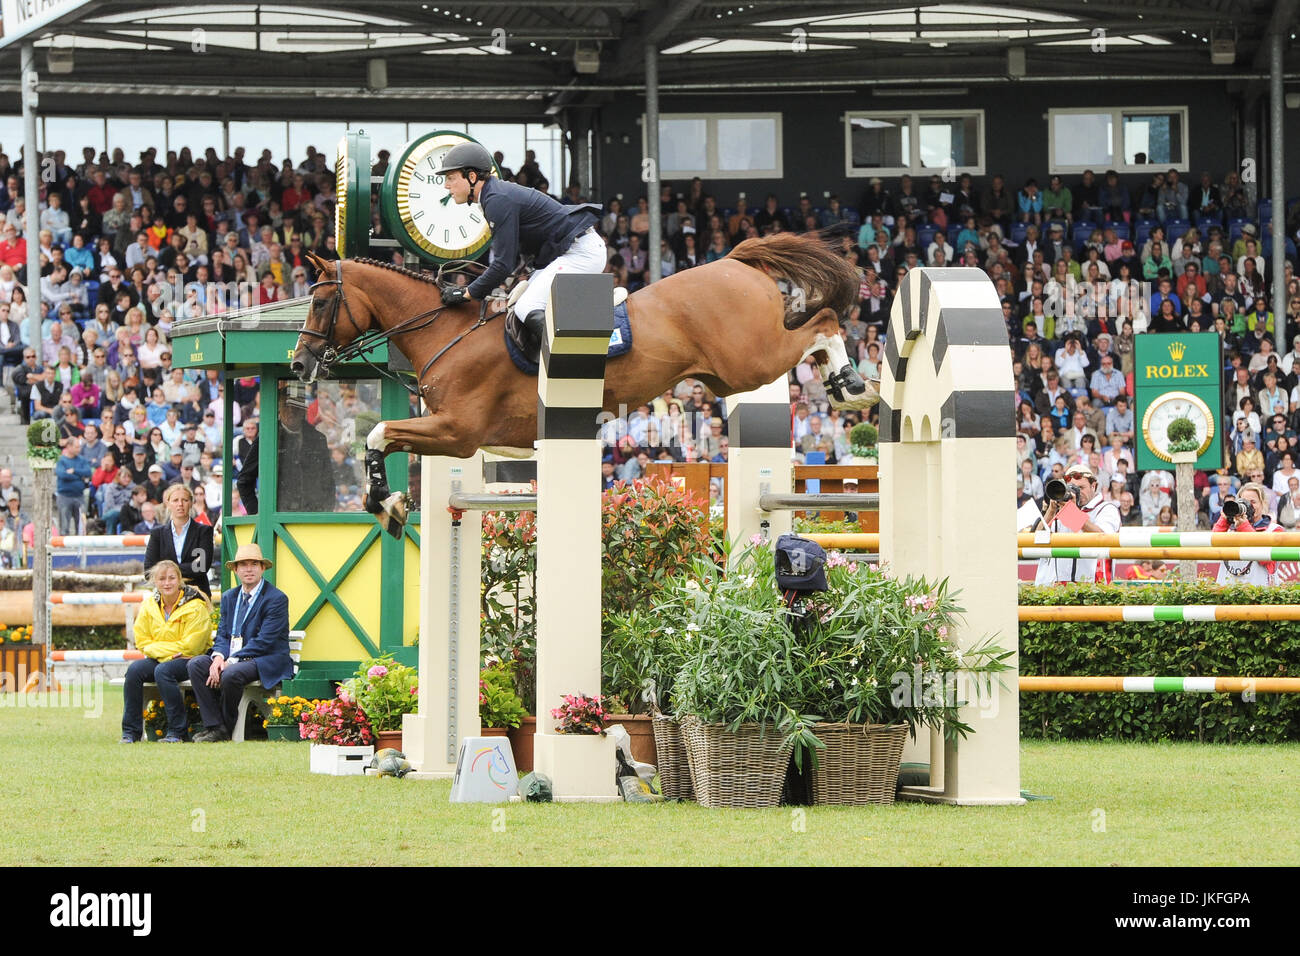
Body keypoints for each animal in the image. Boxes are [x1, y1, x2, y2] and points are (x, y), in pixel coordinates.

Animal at [293, 232, 878, 530]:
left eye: (320, 302)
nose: (299, 364)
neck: (446, 331)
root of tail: (734, 262)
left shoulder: (457, 431)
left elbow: (377, 434)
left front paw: (383, 500)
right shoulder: (459, 436)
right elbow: (385, 438)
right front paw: (388, 498)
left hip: (748, 361)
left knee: (824, 323)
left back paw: (853, 386)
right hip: (725, 375)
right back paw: (841, 382)